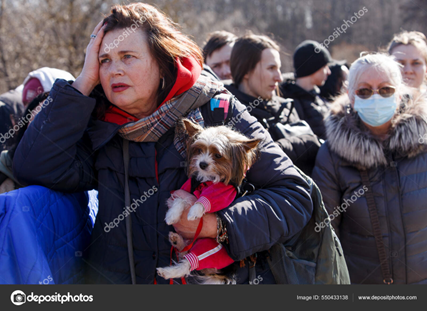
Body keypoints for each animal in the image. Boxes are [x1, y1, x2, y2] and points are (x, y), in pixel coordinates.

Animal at [157, 119, 260, 286]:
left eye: (218, 155)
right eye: (199, 150)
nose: (202, 164)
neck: (206, 181)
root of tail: (222, 273)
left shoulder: (223, 193)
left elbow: (205, 201)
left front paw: (194, 212)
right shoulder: (186, 188)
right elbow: (181, 199)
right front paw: (172, 215)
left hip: (210, 247)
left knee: (188, 263)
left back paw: (168, 271)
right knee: (185, 251)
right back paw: (177, 241)